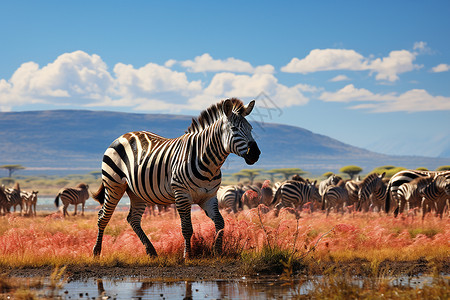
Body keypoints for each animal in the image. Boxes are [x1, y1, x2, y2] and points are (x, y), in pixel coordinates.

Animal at [91, 98, 260, 258]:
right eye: (234, 129)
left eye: (251, 129)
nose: (255, 154)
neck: (208, 162)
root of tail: (124, 135)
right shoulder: (182, 194)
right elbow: (187, 228)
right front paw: (187, 255)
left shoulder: (209, 196)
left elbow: (220, 223)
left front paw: (217, 252)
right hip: (114, 185)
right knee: (103, 217)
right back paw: (96, 252)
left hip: (136, 192)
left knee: (133, 219)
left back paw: (151, 251)